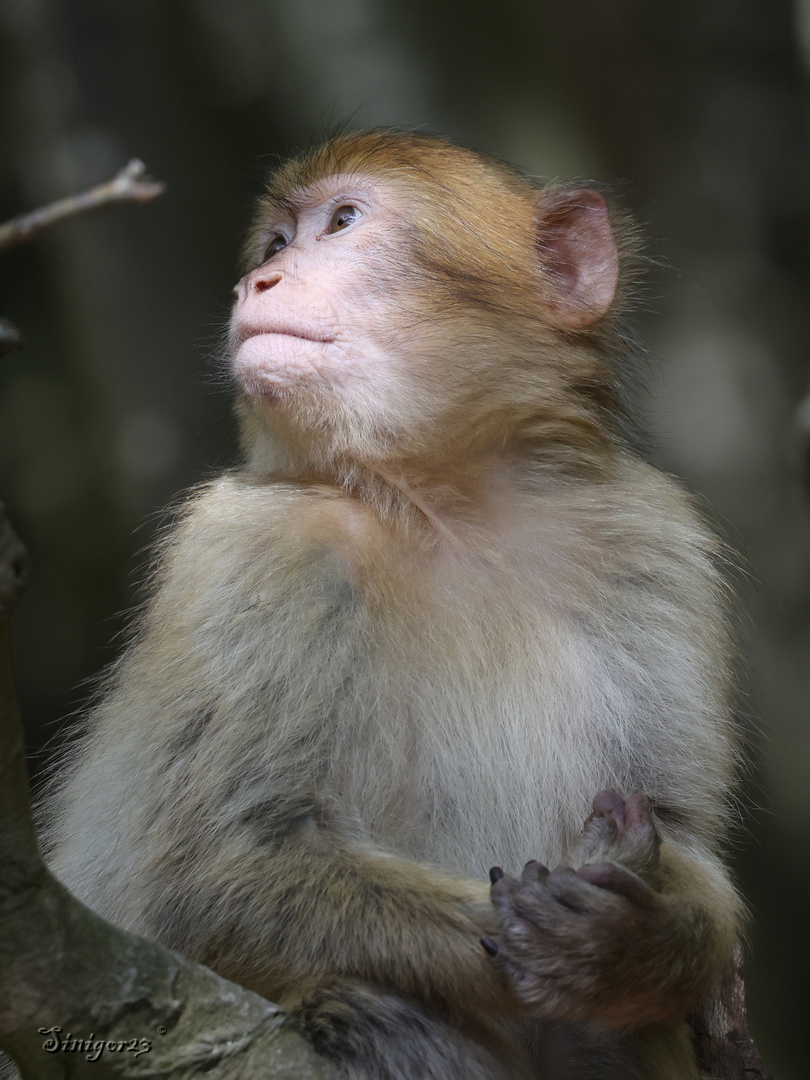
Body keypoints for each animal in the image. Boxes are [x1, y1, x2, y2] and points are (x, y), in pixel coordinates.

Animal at [41, 130, 747, 1075]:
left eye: (342, 223)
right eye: (276, 243)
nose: (258, 283)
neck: (447, 508)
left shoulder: (651, 538)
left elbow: (680, 828)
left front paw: (639, 947)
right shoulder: (255, 546)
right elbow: (213, 870)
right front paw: (548, 944)